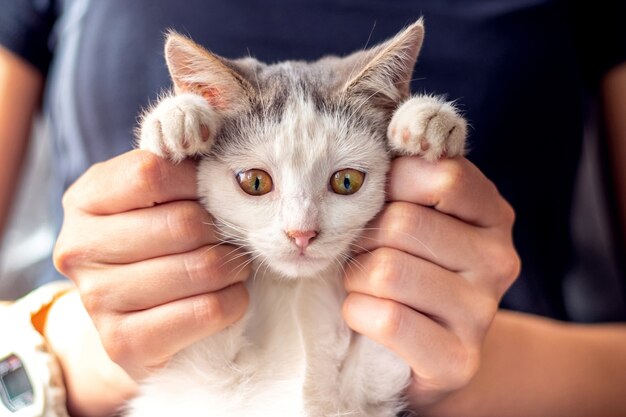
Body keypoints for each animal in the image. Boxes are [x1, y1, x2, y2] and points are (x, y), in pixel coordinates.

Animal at [130, 20, 464, 416]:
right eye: (255, 182)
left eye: (346, 181)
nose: (301, 233)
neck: (293, 287)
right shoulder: (193, 383)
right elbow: (200, 344)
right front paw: (175, 116)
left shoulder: (371, 397)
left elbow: (383, 354)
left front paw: (426, 120)